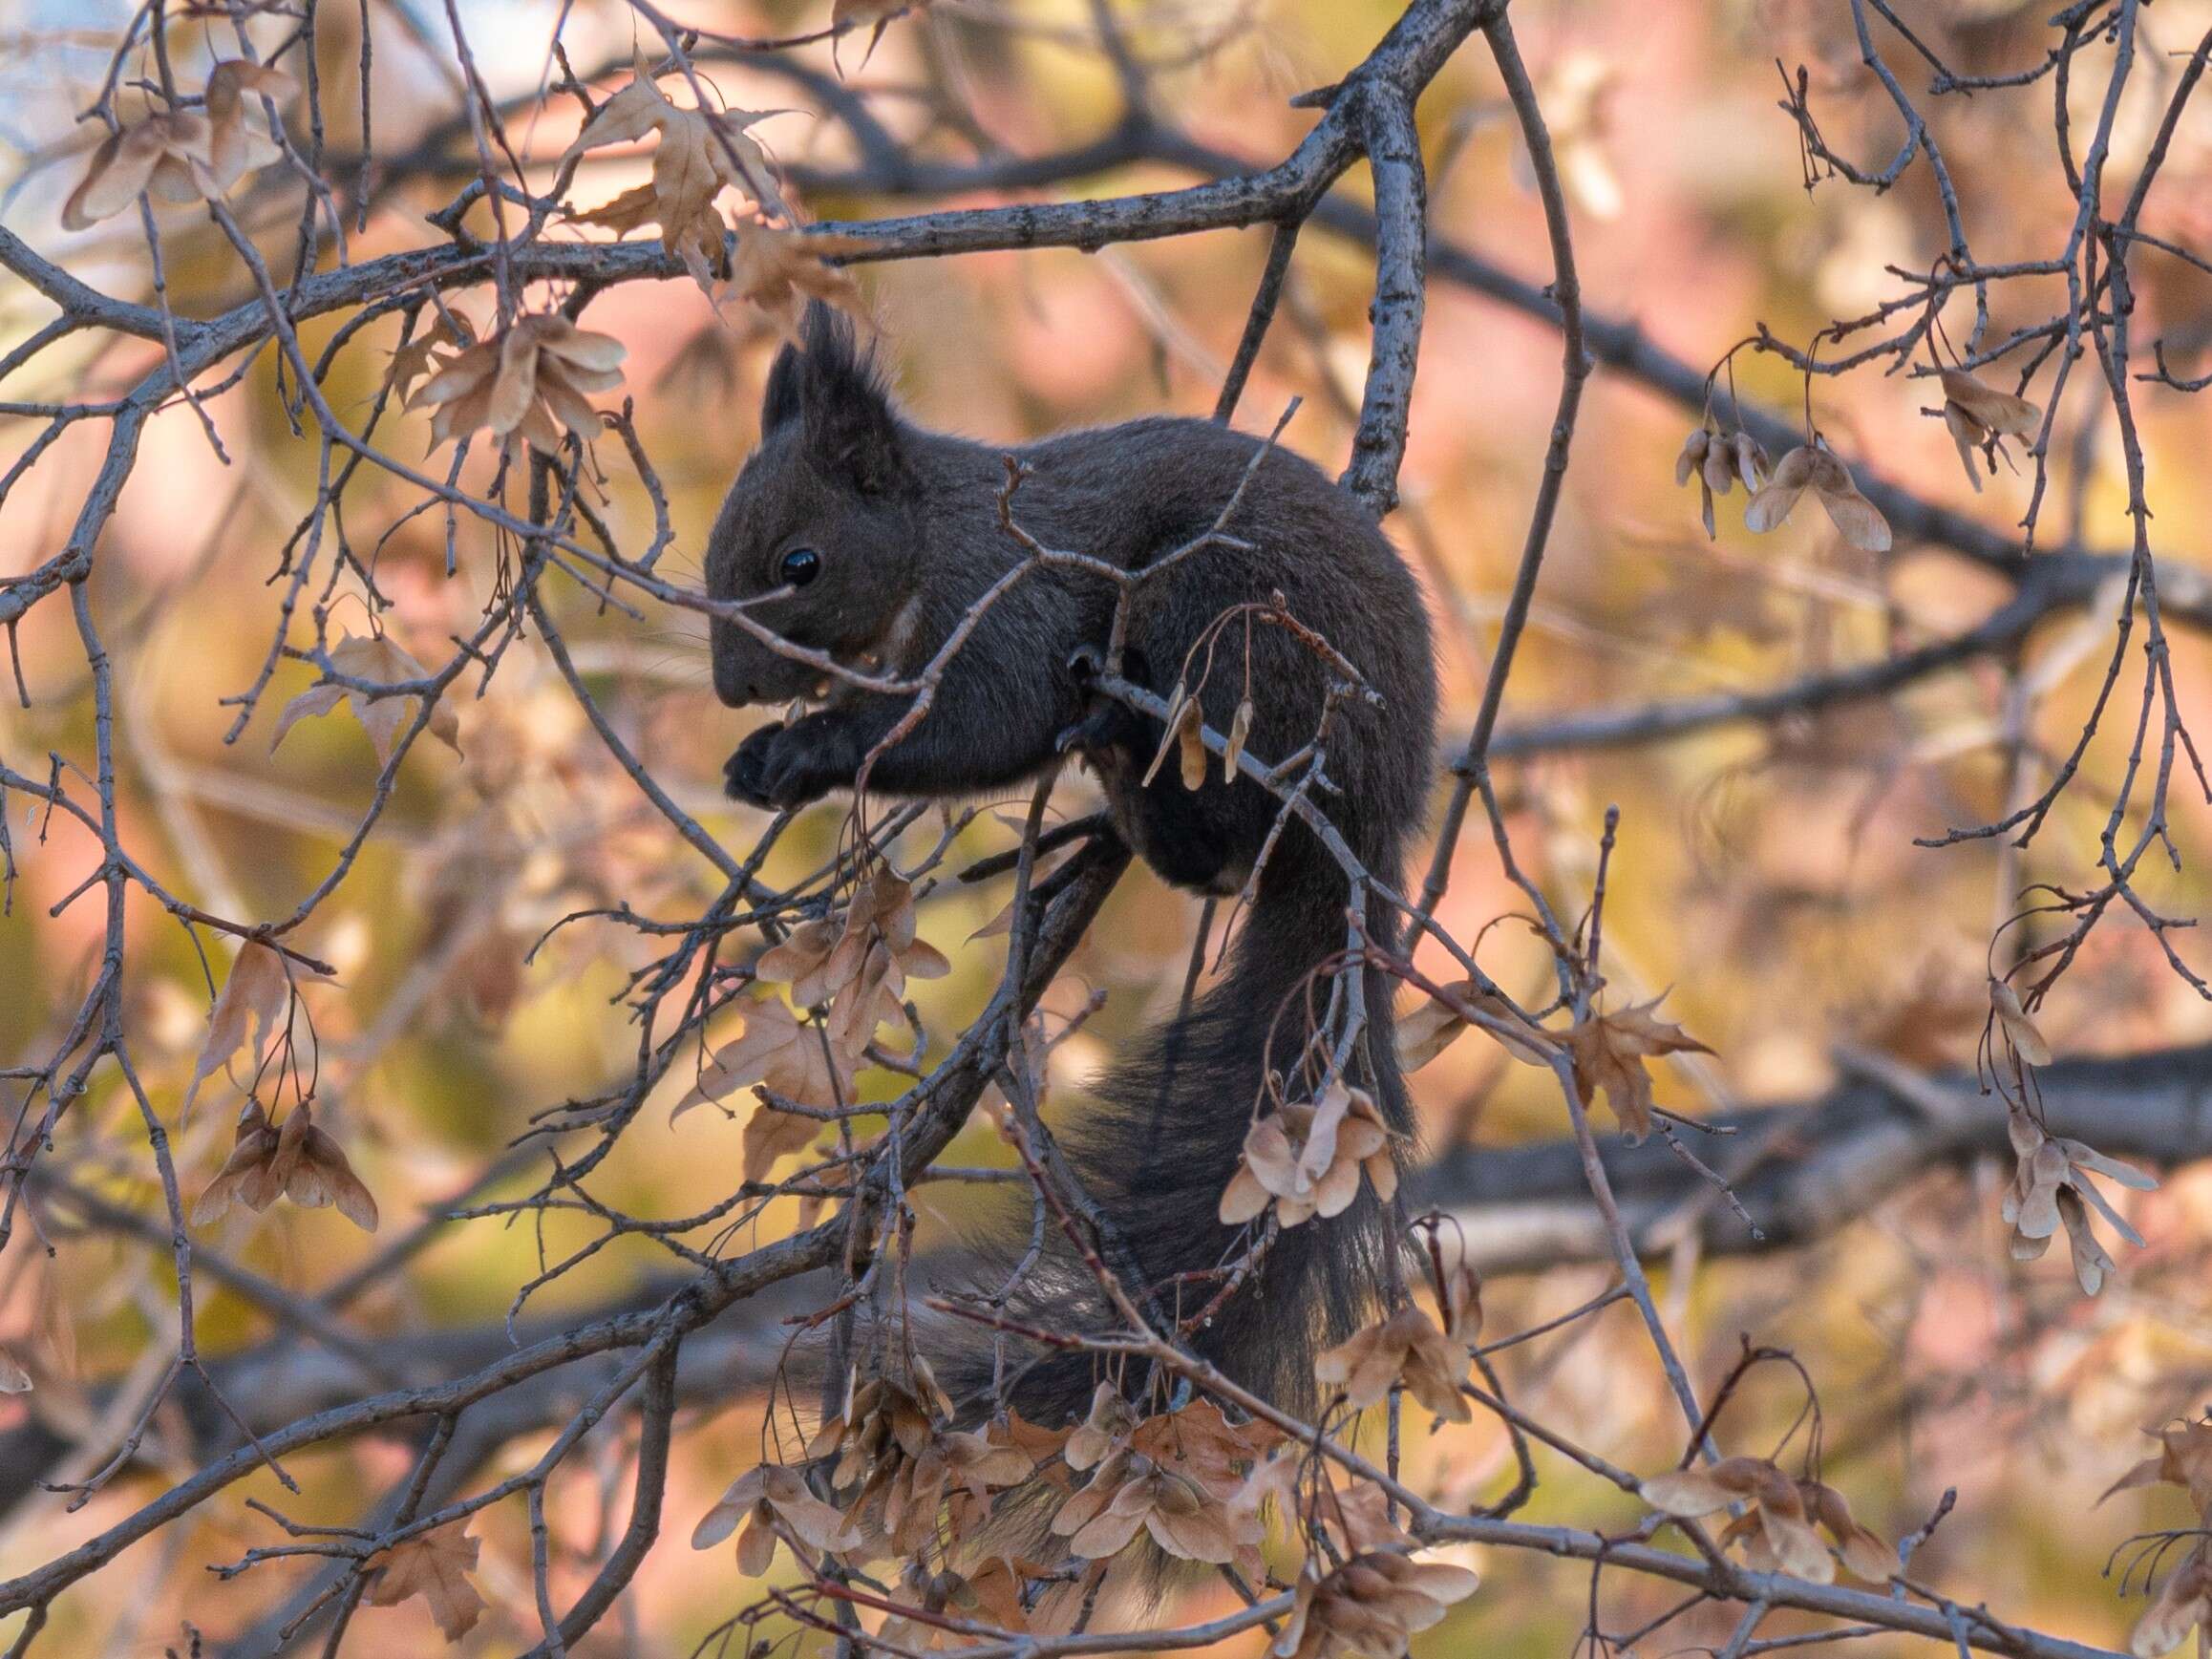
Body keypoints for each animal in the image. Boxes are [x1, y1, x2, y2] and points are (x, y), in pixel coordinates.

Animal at [698, 309, 1442, 1433]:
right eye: (712, 552)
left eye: (801, 562)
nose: (732, 689)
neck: (936, 540)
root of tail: (1369, 814)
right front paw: (762, 757)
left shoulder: (1016, 607)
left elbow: (983, 723)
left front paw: (804, 751)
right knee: (1211, 864)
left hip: (1228, 623)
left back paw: (1127, 746)